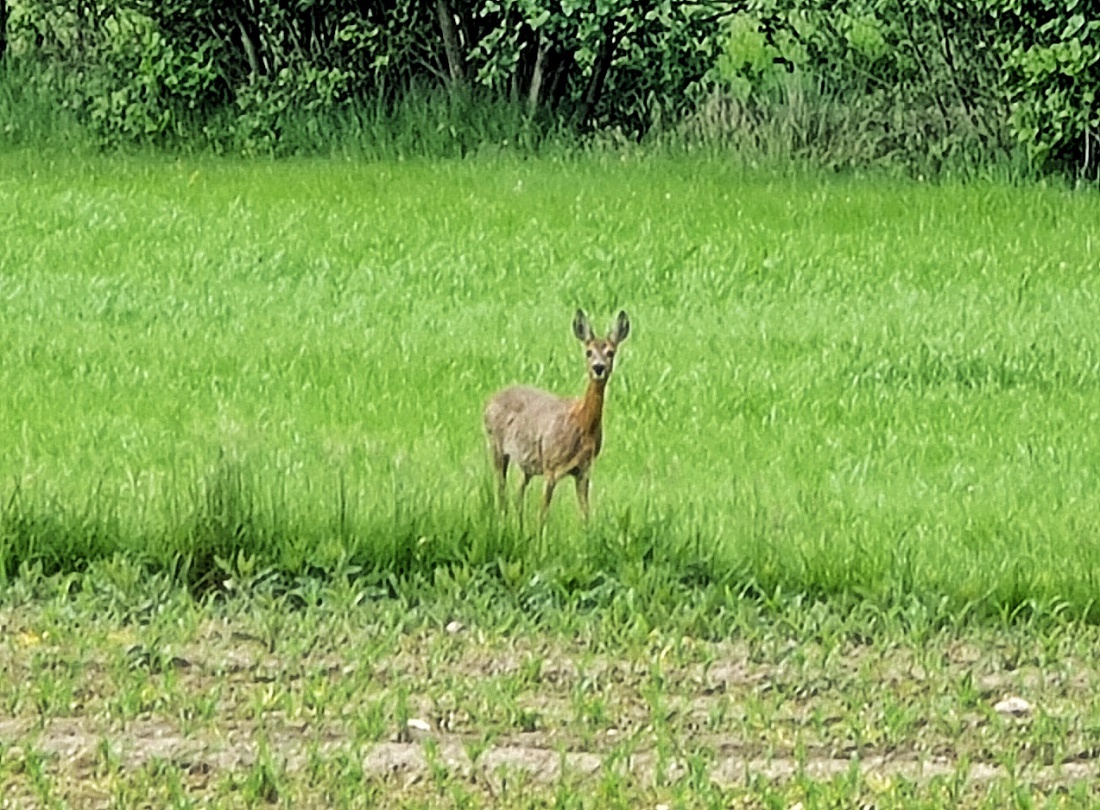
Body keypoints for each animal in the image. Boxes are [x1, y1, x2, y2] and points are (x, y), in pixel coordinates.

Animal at [486, 305, 633, 521]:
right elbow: (543, 513)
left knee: (517, 492)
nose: (599, 368)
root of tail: (488, 401)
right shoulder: (551, 467)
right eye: (588, 352)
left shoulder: (584, 471)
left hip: (527, 464)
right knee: (502, 488)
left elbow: (585, 515)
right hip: (496, 446)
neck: (582, 423)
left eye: (611, 352)